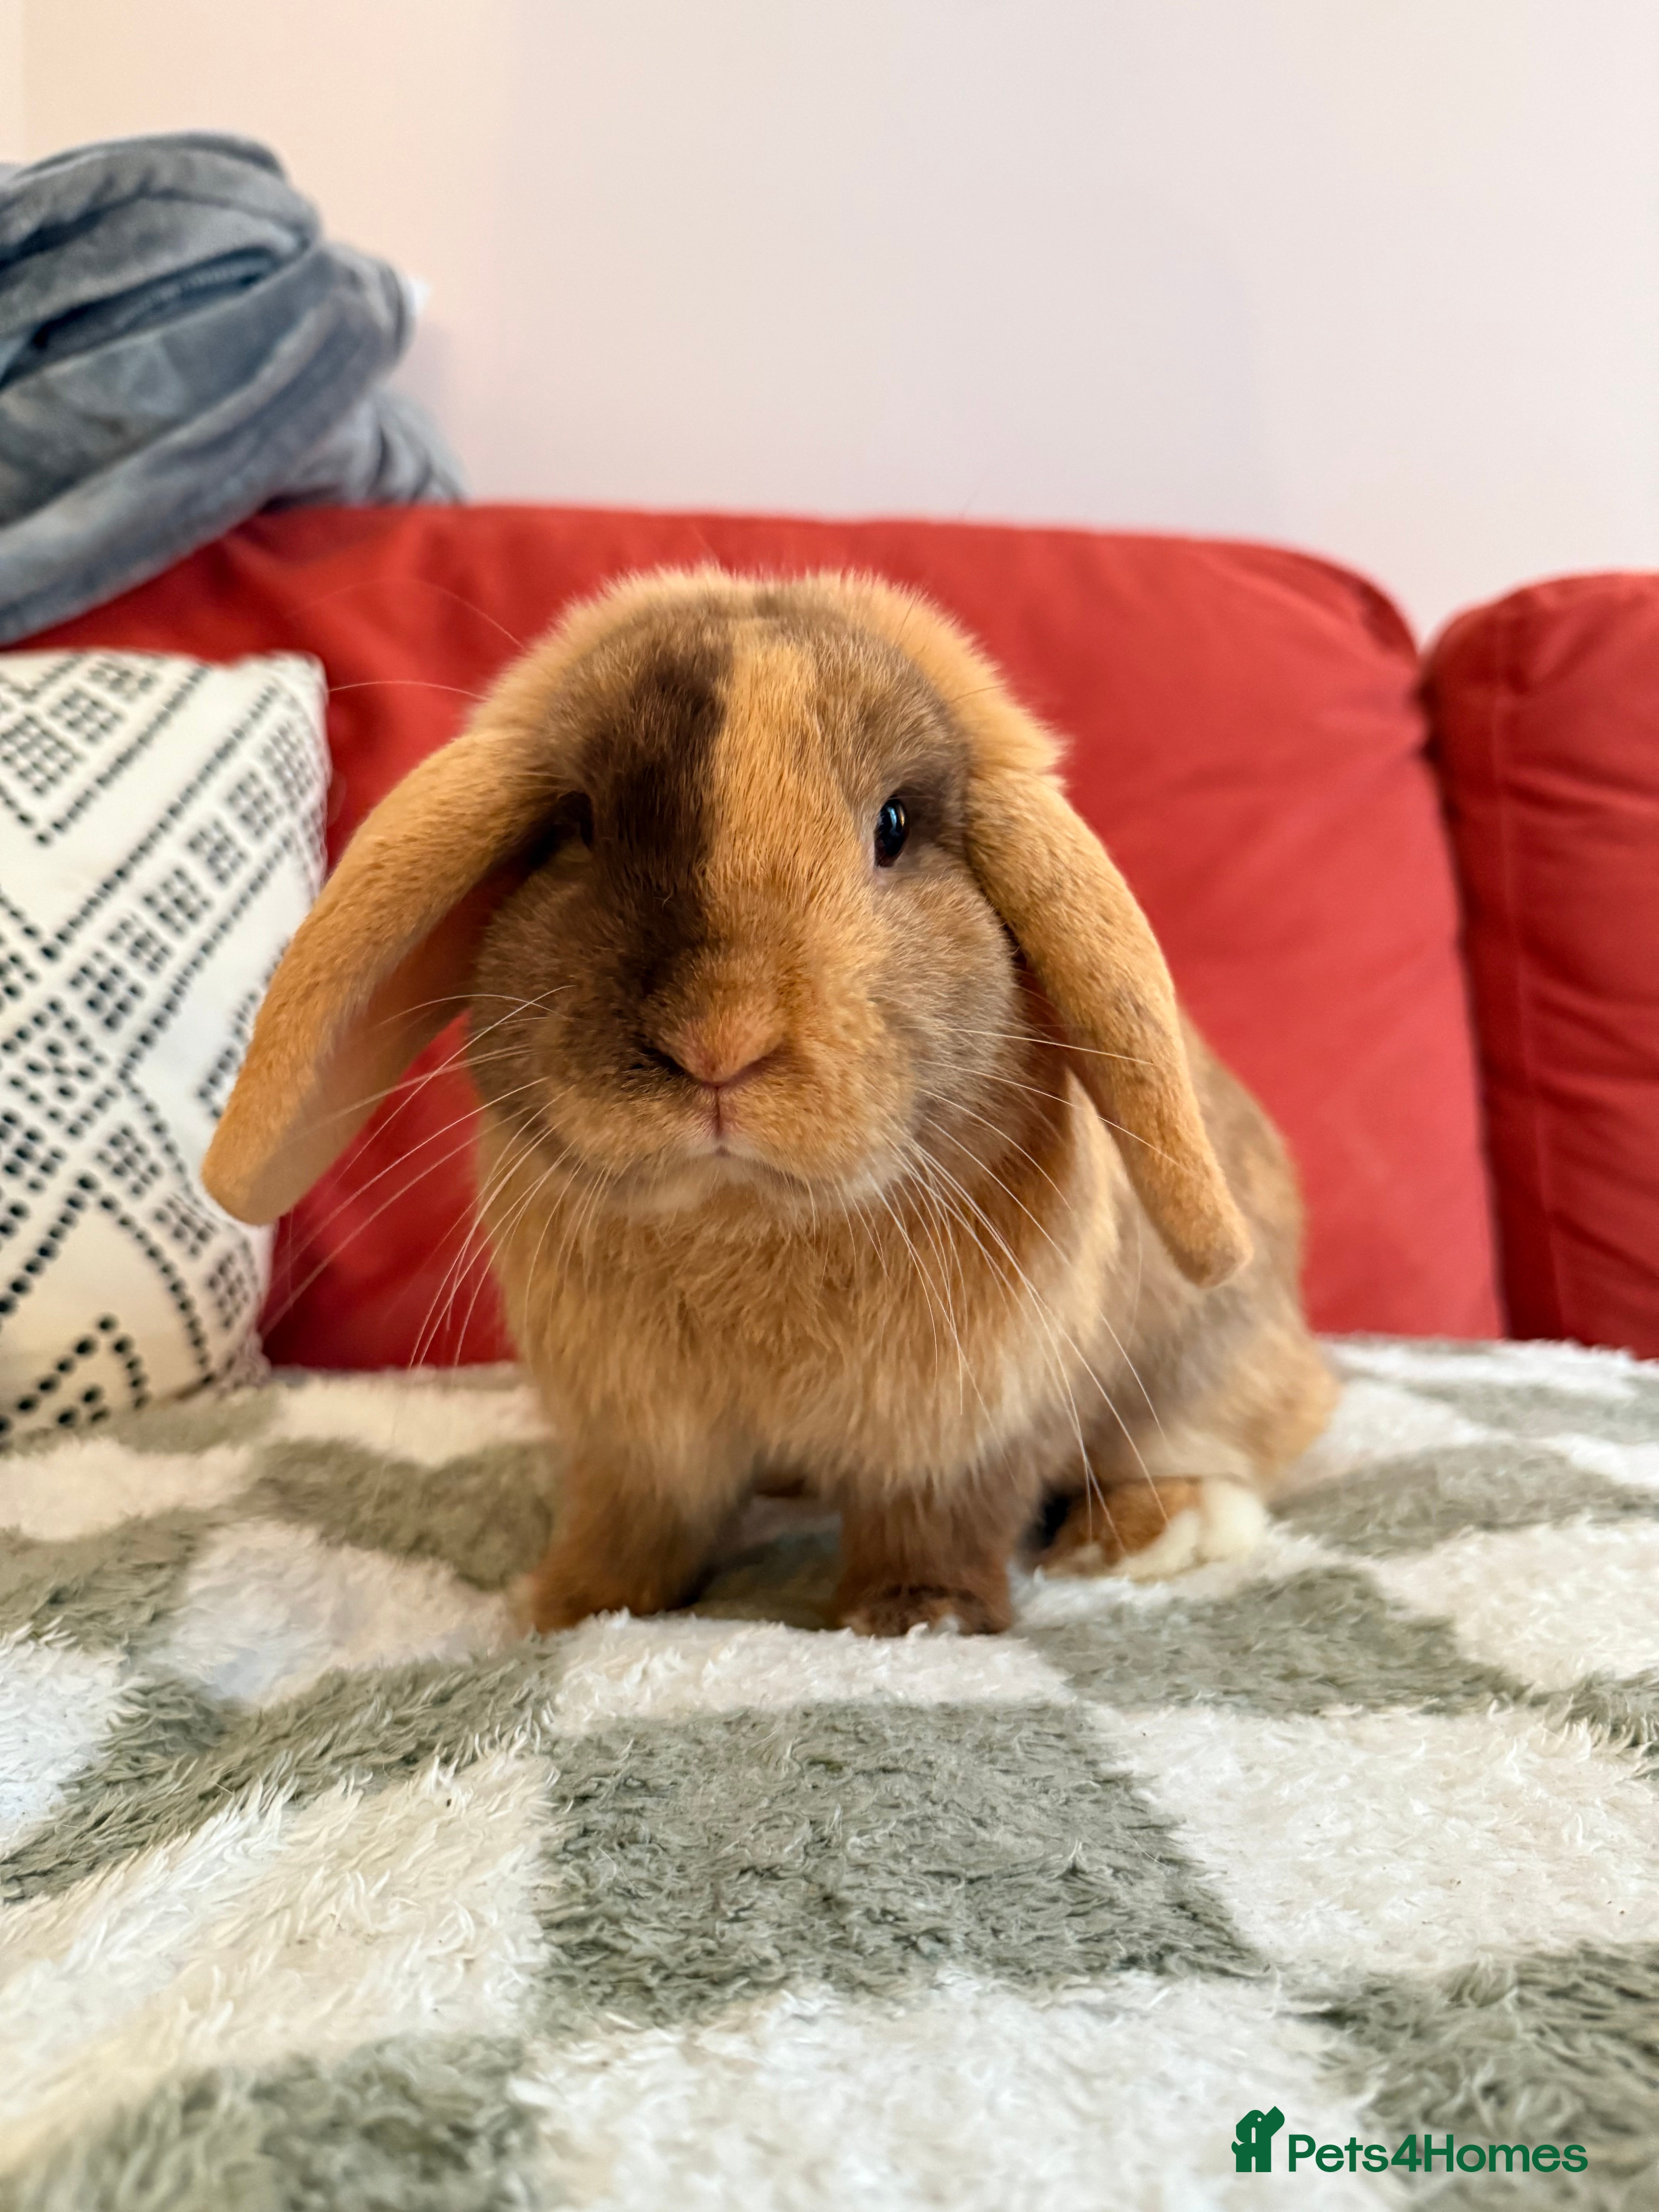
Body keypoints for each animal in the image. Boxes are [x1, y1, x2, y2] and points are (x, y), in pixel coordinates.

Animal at [203, 567, 1337, 1636]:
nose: (721, 1041)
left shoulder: (964, 1432)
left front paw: (917, 1618)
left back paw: (1148, 1533)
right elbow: (633, 1527)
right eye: (576, 826)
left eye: (895, 826)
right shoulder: (636, 1442)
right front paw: (570, 1605)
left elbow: (941, 1522)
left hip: (1212, 1355)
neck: (744, 1219)